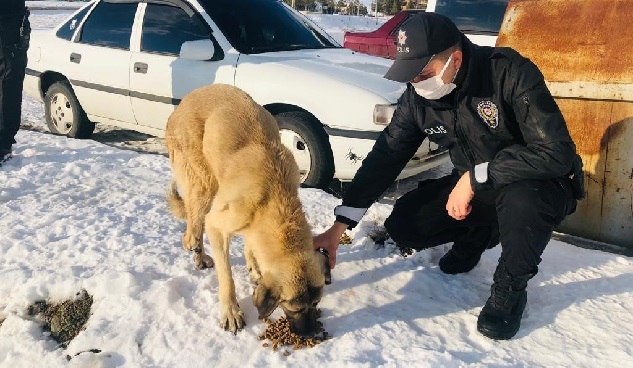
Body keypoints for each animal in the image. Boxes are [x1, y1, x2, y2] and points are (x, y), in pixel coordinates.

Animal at [163, 85, 330, 334]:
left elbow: (251, 244)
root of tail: (183, 103)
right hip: (204, 186)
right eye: (294, 308)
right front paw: (231, 312)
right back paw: (197, 252)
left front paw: (254, 267)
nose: (311, 333)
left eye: (316, 303)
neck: (274, 196)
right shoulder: (218, 224)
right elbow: (227, 276)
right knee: (193, 229)